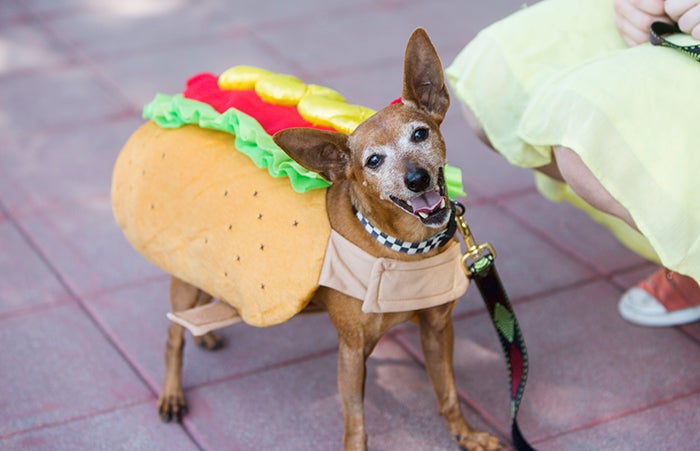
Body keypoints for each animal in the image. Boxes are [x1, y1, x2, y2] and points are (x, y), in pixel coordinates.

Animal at [156, 29, 500, 451]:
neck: (401, 249)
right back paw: (172, 392)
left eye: (420, 133)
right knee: (173, 336)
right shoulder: (352, 351)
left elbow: (448, 392)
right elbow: (356, 423)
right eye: (373, 161)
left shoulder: (437, 329)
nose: (416, 179)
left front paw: (466, 435)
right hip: (185, 274)